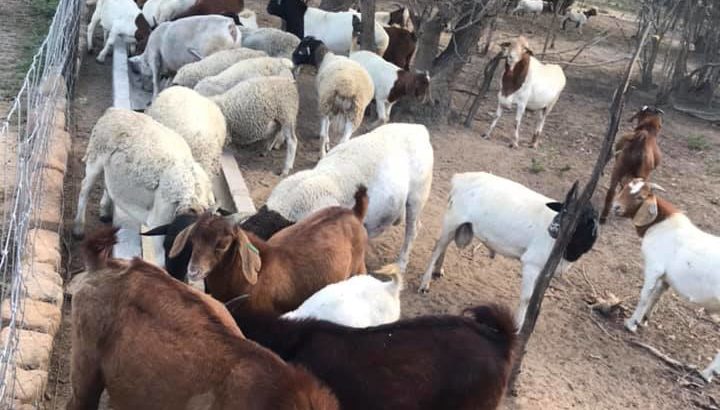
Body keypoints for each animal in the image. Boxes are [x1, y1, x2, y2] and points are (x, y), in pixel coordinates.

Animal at [419, 172, 598, 327]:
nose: (553, 228)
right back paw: (425, 284)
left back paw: (438, 270)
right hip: (453, 219)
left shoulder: (546, 271)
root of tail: (460, 178)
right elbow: (527, 298)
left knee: (444, 246)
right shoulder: (531, 263)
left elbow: (536, 300)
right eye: (564, 209)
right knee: (437, 247)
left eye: (582, 218)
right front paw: (519, 326)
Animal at [611, 179, 720, 382]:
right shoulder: (666, 277)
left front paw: (631, 323)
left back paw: (707, 373)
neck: (662, 225)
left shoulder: (654, 267)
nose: (616, 207)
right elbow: (657, 295)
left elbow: (645, 295)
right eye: (626, 187)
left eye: (640, 197)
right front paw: (644, 320)